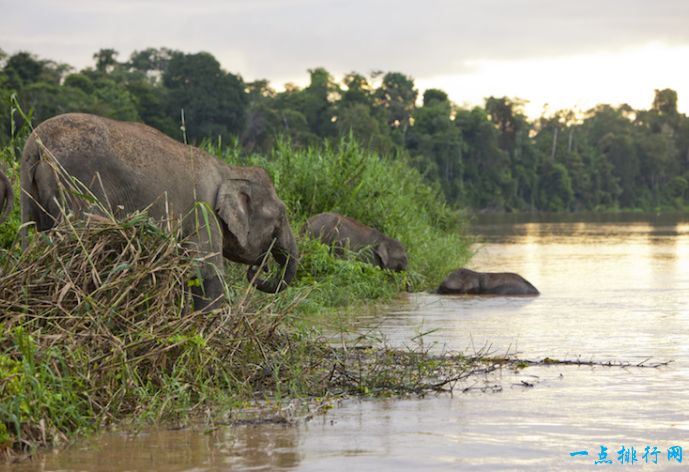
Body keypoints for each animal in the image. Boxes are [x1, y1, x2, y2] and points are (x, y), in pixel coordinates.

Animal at [20, 110, 296, 310]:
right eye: (280, 217)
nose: (261, 267)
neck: (229, 169)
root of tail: (36, 146)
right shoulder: (203, 211)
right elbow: (206, 272)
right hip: (78, 187)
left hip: (31, 196)